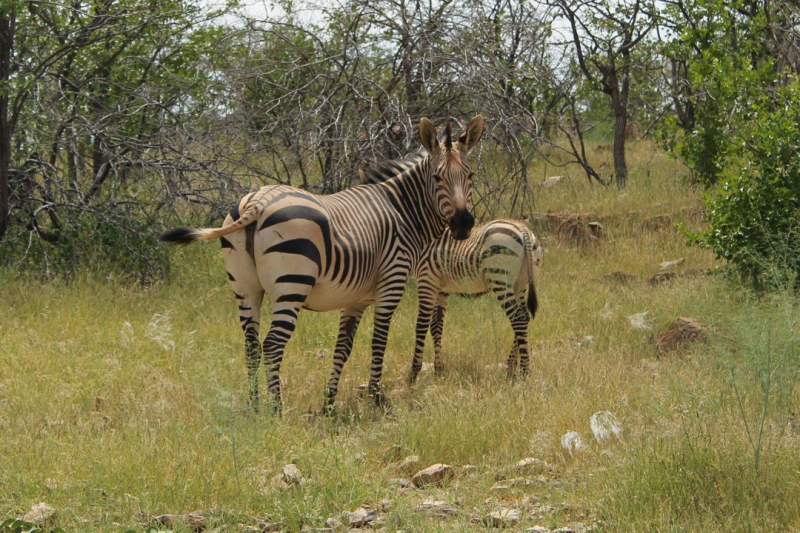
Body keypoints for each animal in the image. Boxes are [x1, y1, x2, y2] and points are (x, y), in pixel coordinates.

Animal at [157, 115, 482, 412]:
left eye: (470, 175)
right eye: (437, 177)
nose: (463, 224)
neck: (402, 210)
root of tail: (256, 202)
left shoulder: (356, 298)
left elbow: (343, 347)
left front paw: (329, 402)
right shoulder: (392, 281)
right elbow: (379, 340)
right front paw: (377, 398)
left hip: (245, 287)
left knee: (251, 344)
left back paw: (254, 406)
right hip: (292, 283)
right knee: (272, 344)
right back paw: (276, 410)